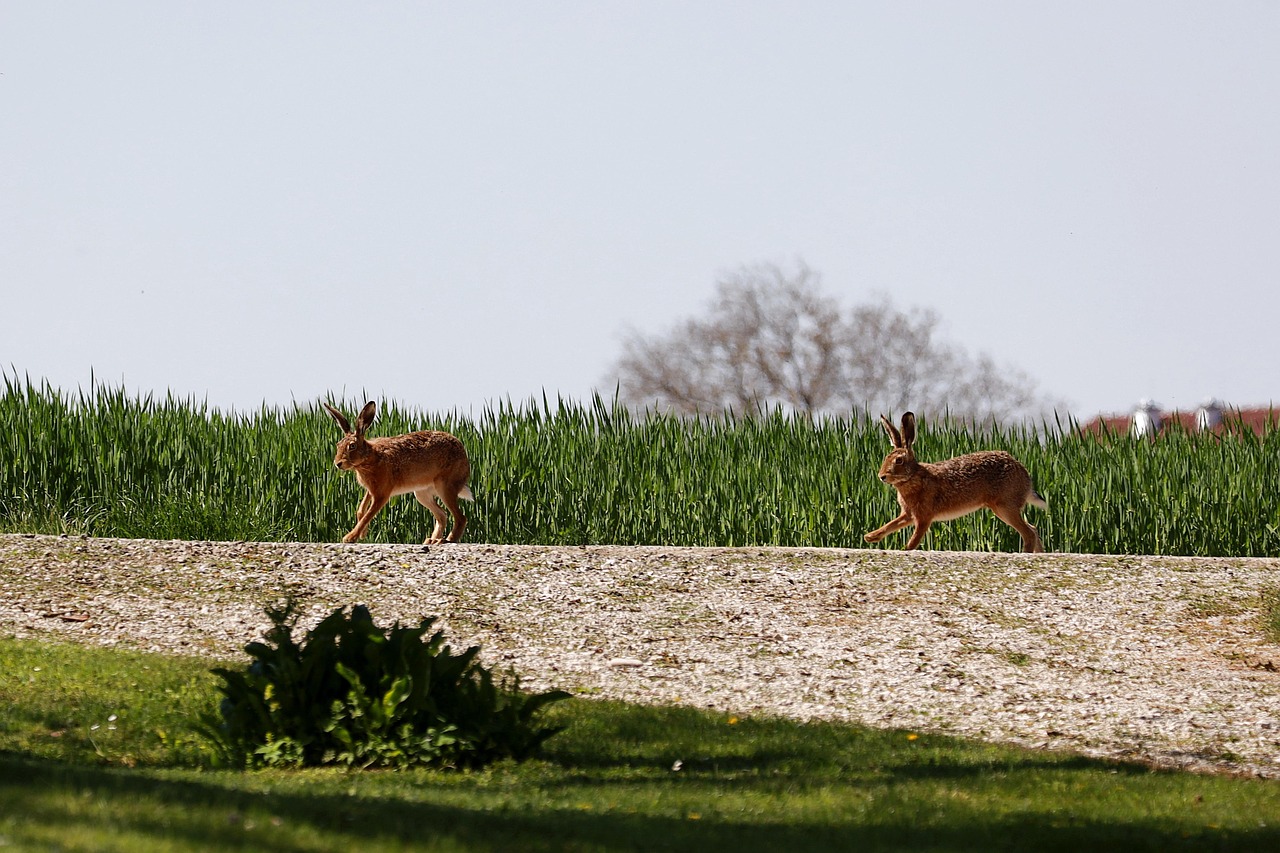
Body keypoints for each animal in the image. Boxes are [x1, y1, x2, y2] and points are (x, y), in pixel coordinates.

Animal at [323, 401, 474, 544]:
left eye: (352, 446)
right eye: (338, 445)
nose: (338, 464)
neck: (369, 457)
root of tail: (464, 455)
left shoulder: (381, 494)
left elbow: (368, 515)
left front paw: (350, 538)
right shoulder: (371, 490)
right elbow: (360, 510)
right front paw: (362, 534)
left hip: (445, 487)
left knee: (461, 518)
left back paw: (446, 540)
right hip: (422, 494)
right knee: (442, 515)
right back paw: (431, 540)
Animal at [864, 412, 1047, 552]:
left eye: (899, 460)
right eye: (886, 458)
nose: (882, 476)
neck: (913, 476)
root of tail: (1024, 474)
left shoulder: (924, 517)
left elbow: (914, 539)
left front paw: (905, 550)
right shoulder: (908, 514)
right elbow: (891, 525)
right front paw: (870, 537)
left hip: (1005, 506)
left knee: (1029, 533)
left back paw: (1026, 553)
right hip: (1003, 508)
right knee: (1033, 529)